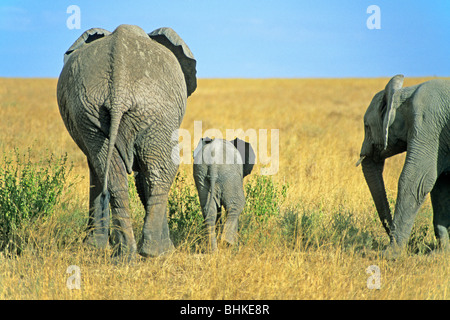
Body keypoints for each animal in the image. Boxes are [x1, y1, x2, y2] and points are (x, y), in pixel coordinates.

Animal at [56, 25, 197, 260]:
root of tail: (119, 86)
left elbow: (97, 171)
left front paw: (93, 248)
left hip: (92, 112)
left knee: (114, 175)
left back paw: (127, 256)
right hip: (150, 111)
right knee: (161, 171)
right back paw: (155, 252)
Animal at [356, 75, 450, 260]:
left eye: (366, 126)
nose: (413, 245)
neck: (404, 95)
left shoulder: (429, 124)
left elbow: (415, 180)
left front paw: (389, 255)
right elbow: (440, 189)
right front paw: (439, 255)